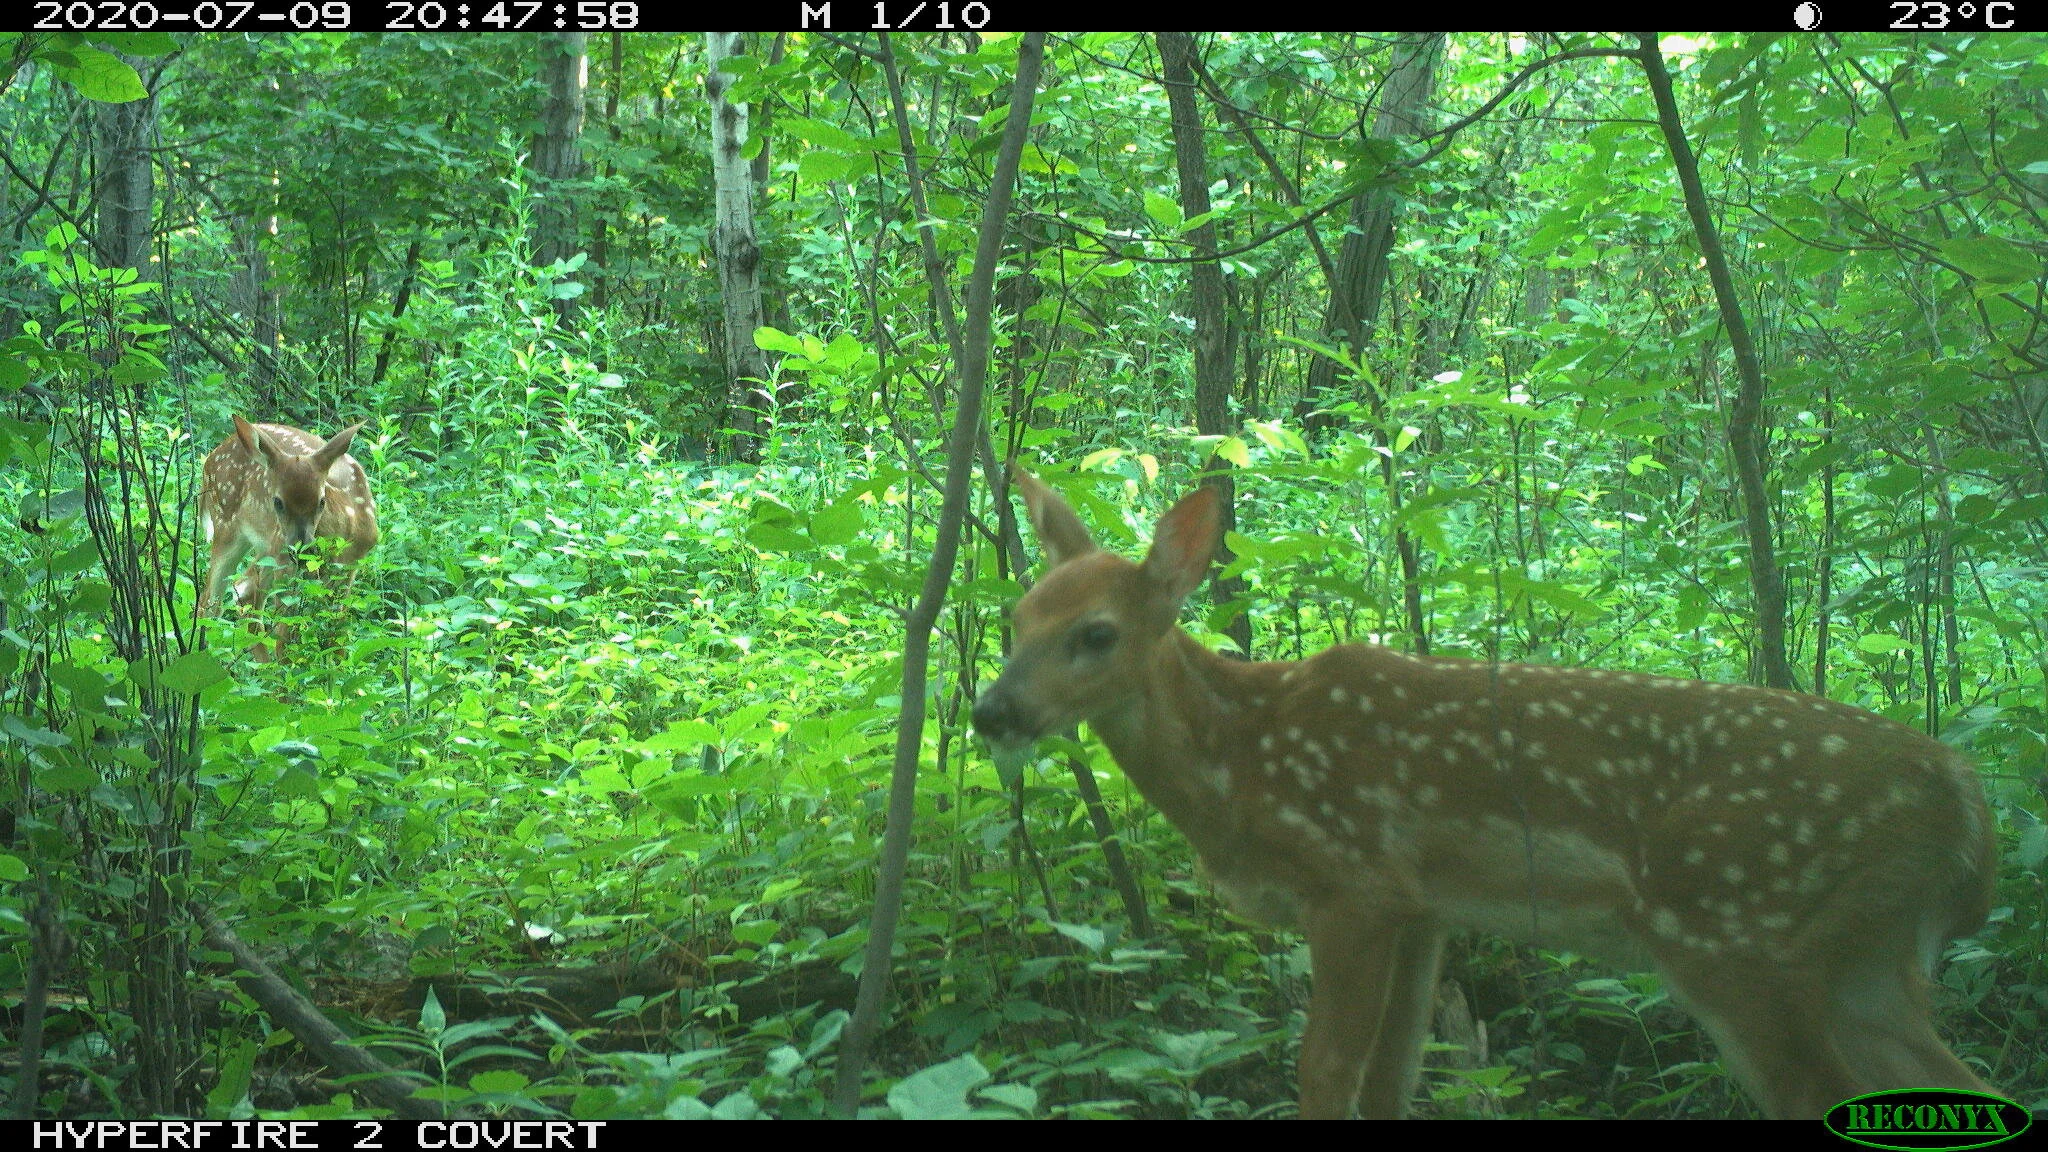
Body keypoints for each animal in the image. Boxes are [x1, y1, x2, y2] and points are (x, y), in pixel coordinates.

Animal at [199, 416, 379, 655]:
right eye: (277, 501)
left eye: (321, 501)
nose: (301, 551)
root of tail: (210, 458)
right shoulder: (286, 563)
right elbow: (285, 638)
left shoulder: (351, 564)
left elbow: (337, 633)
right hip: (228, 525)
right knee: (210, 602)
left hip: (268, 547)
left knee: (244, 590)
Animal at [970, 468, 1997, 1120]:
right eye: (1016, 617)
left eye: (1096, 634)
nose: (991, 710)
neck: (1242, 766)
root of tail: (1965, 804)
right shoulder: (1426, 907)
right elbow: (1390, 1083)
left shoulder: (1356, 882)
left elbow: (1324, 1074)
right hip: (1863, 960)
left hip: (1743, 937)